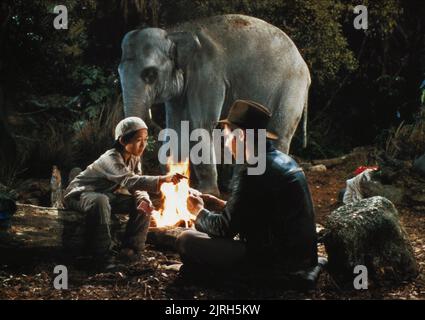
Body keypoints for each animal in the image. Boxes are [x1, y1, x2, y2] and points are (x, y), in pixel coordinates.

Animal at [117, 13, 310, 195]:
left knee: (279, 133)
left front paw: (206, 192)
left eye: (150, 74)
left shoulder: (208, 76)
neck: (175, 32)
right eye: (119, 72)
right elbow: (177, 127)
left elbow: (200, 124)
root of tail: (305, 68)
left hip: (291, 89)